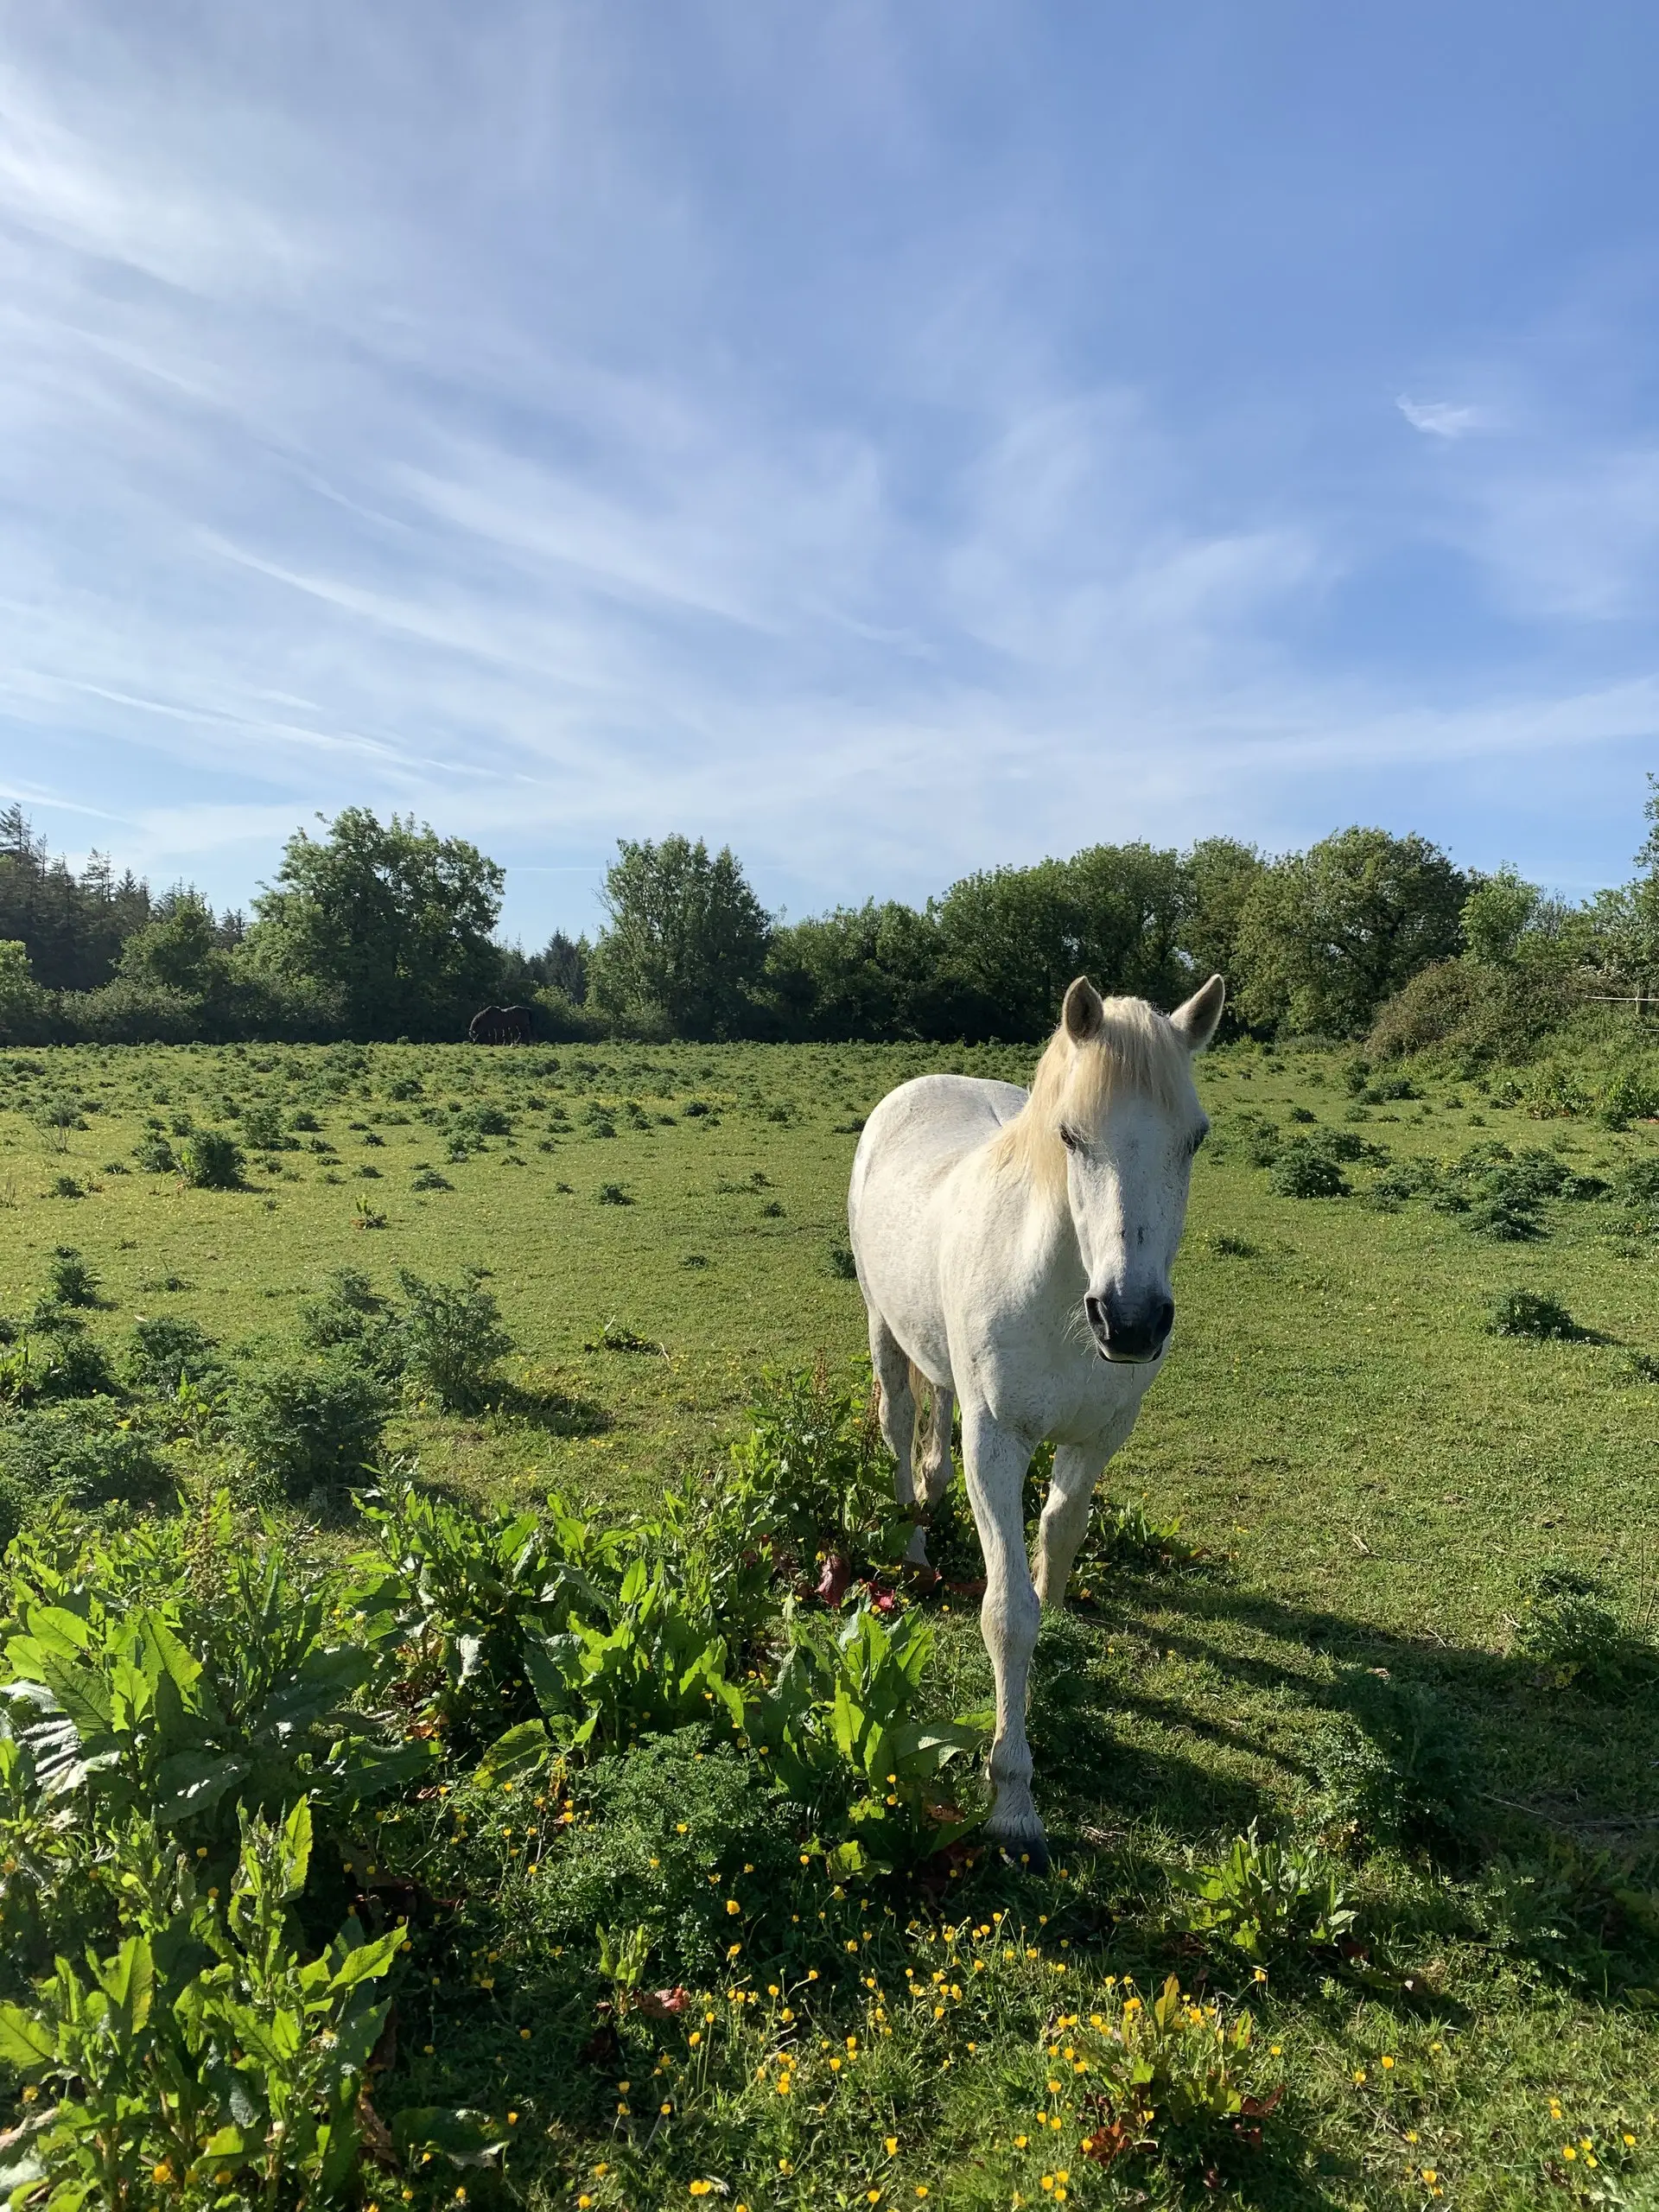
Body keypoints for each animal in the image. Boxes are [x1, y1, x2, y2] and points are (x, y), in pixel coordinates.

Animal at [847, 971, 1224, 1869]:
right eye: (1071, 1136)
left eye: (1194, 1140)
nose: (1131, 1321)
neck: (1057, 1293)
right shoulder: (997, 1446)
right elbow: (1007, 1617)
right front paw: (1012, 1803)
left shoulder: (1098, 1436)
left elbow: (1060, 1529)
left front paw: (1060, 1613)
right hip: (883, 1329)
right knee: (899, 1427)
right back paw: (911, 1544)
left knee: (934, 1431)